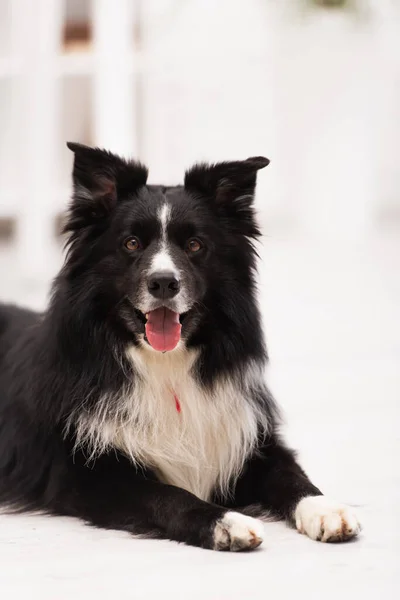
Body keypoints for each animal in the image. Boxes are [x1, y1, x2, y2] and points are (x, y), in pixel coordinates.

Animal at [0, 143, 362, 552]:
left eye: (194, 245)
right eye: (131, 243)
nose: (163, 283)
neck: (165, 366)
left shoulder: (249, 437)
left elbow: (292, 474)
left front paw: (327, 510)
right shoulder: (87, 475)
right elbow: (167, 495)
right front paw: (227, 523)